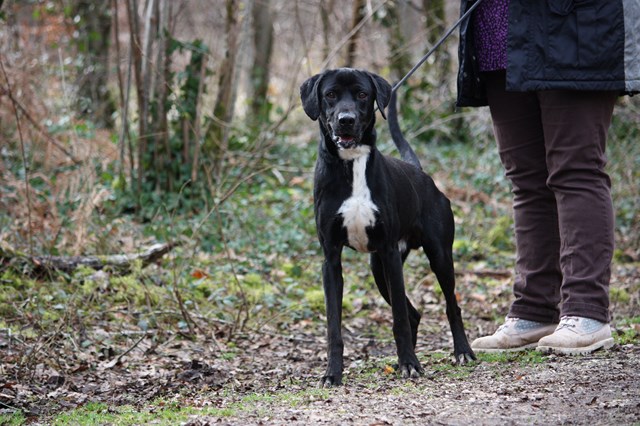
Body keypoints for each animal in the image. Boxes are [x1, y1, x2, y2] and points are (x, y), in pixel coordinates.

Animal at [300, 69, 476, 386]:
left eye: (362, 94)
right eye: (330, 95)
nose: (346, 119)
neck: (352, 165)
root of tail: (420, 173)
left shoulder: (390, 252)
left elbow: (399, 321)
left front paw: (410, 364)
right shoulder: (331, 259)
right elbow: (334, 327)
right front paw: (332, 373)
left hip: (438, 256)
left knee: (449, 305)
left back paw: (462, 352)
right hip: (377, 269)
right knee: (414, 313)